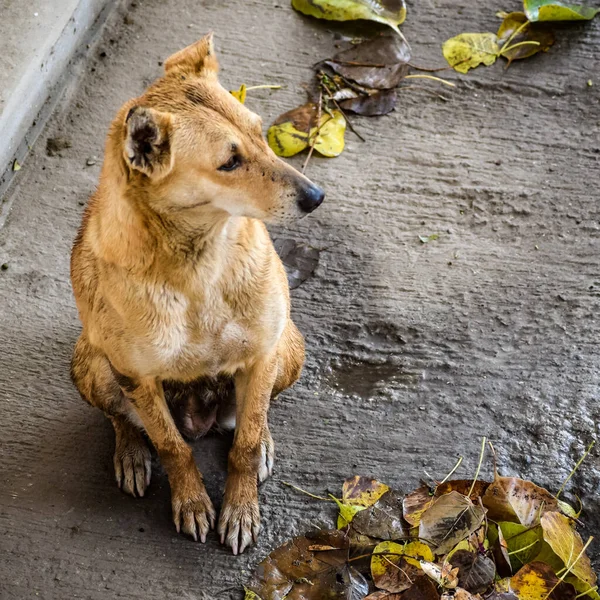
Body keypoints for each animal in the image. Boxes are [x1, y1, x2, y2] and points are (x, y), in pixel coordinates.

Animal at [69, 35, 324, 556]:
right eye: (229, 162)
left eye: (260, 132)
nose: (316, 196)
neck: (199, 269)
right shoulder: (135, 376)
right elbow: (172, 447)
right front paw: (190, 501)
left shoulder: (263, 354)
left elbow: (244, 443)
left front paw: (241, 507)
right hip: (92, 366)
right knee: (125, 420)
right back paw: (131, 453)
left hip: (290, 349)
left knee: (254, 415)